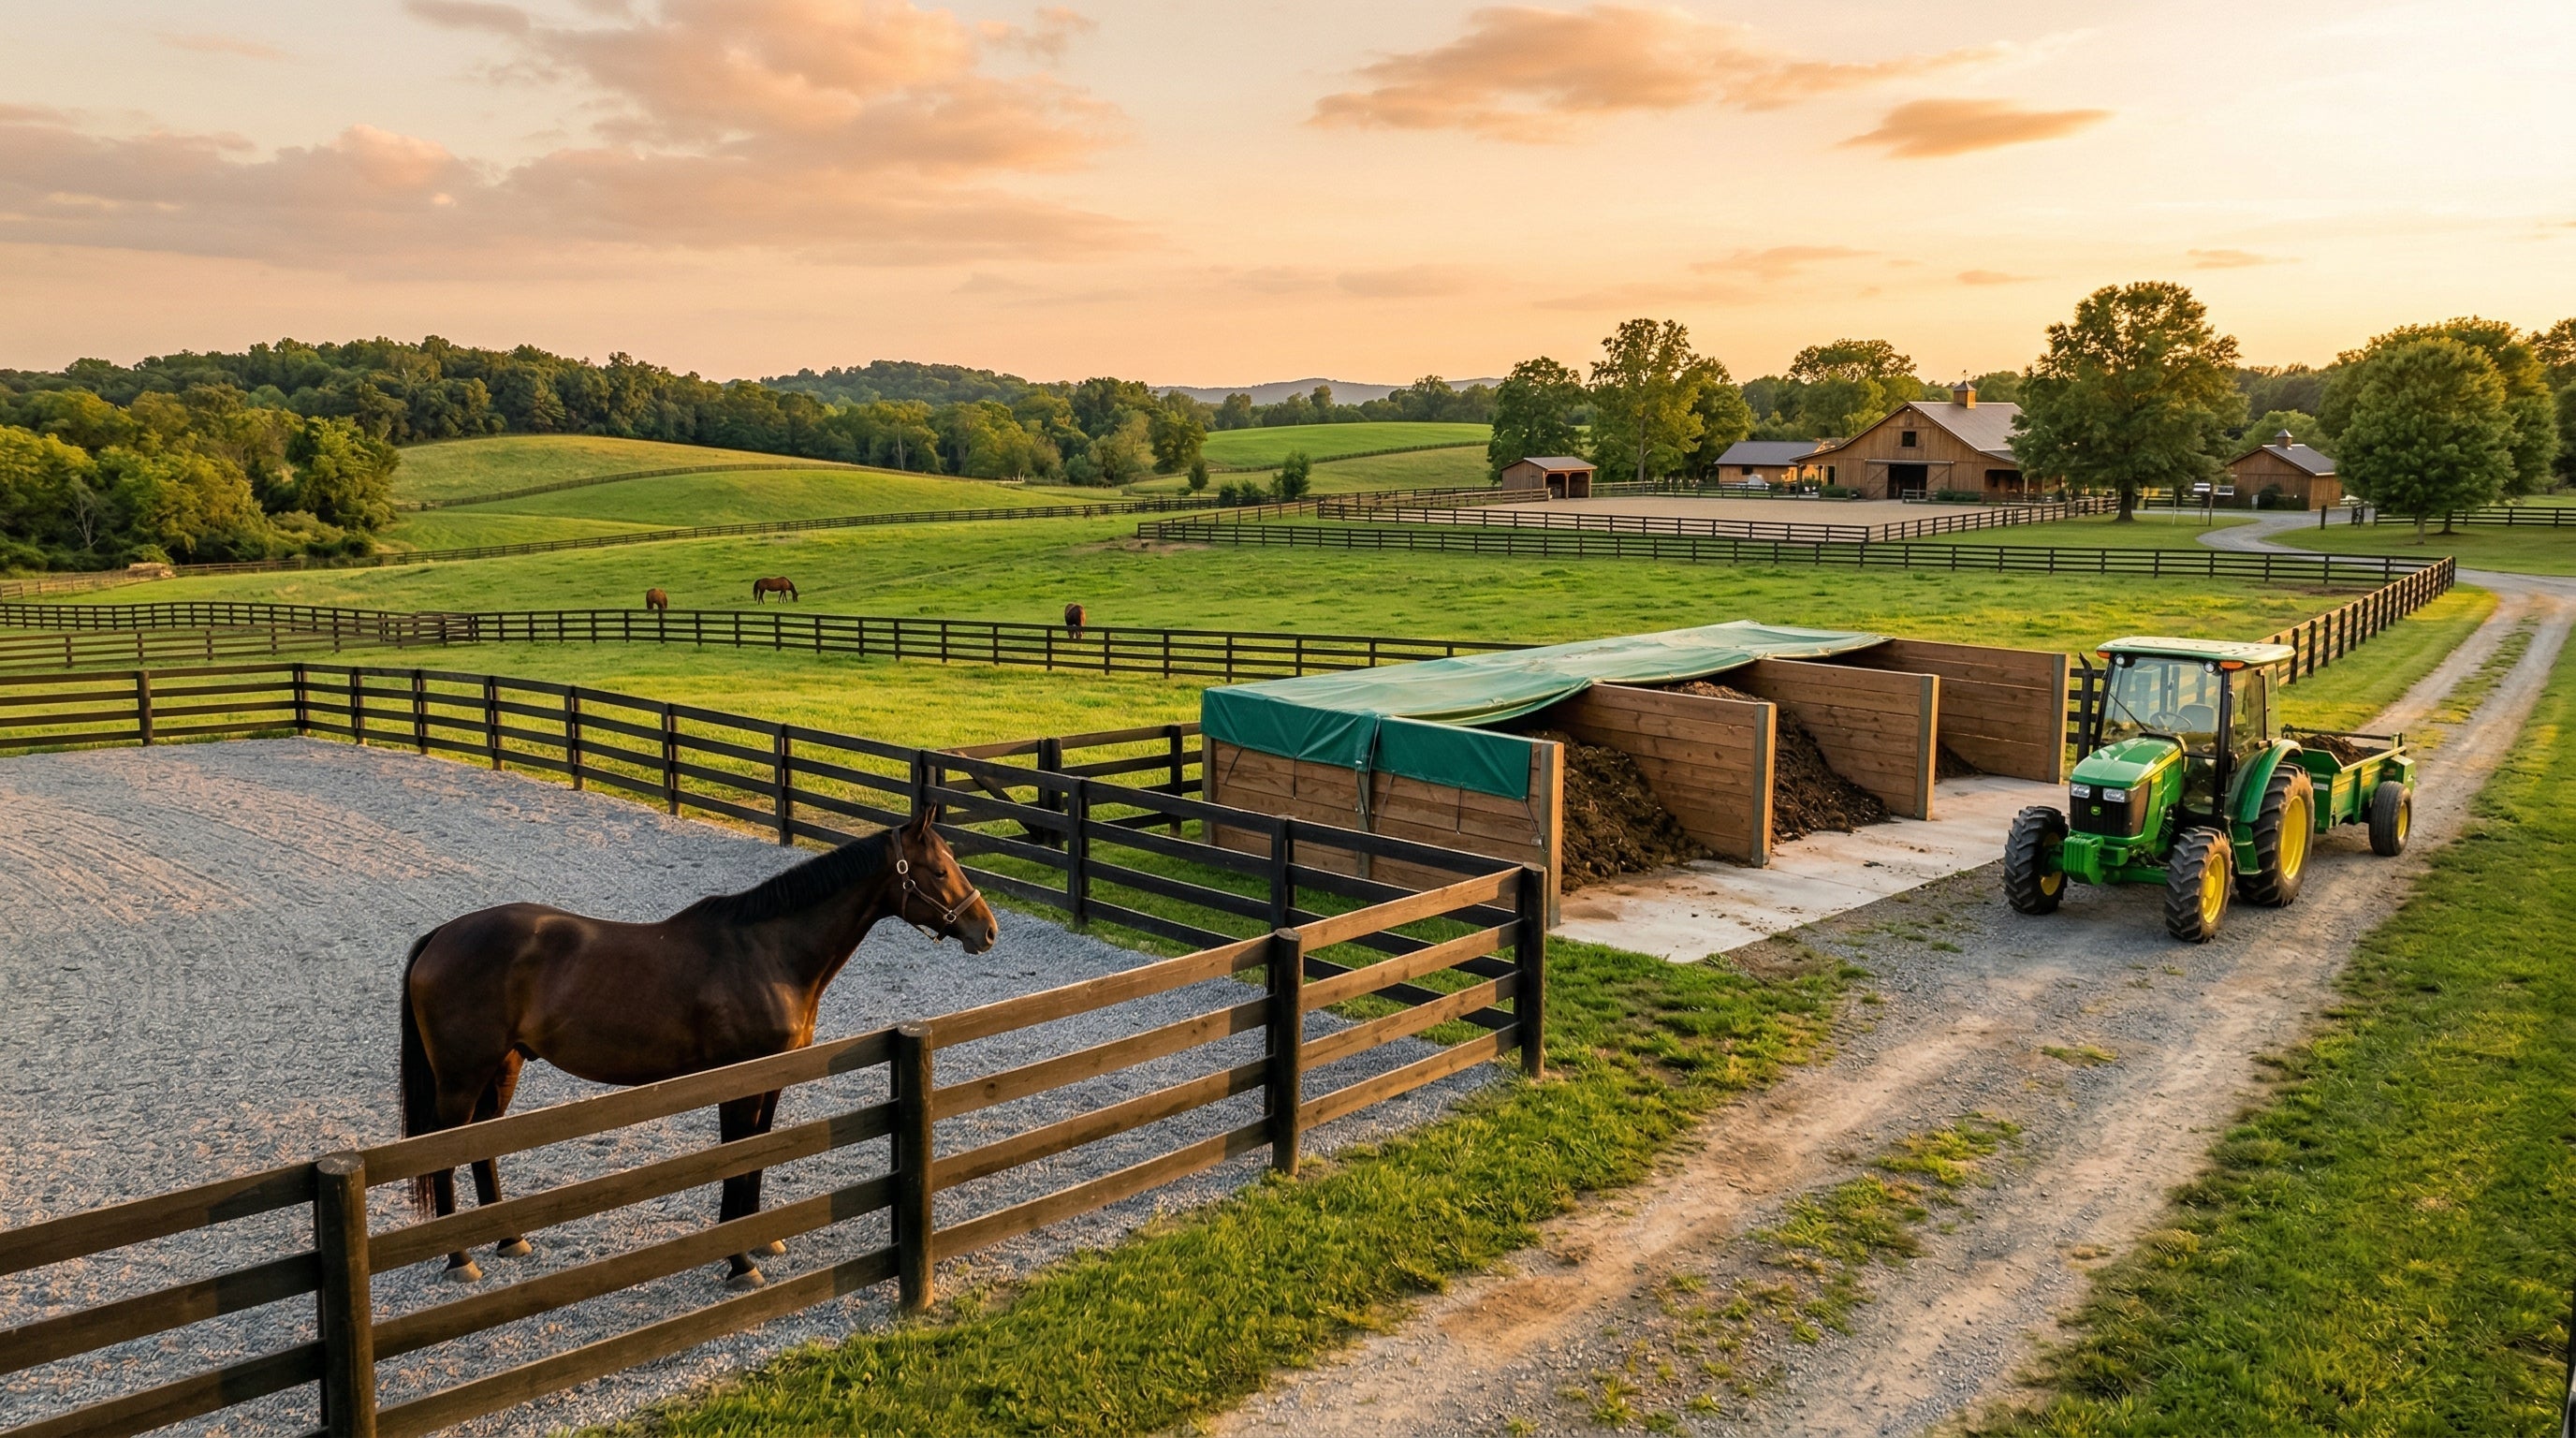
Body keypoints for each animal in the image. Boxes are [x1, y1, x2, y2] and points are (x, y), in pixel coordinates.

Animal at [396, 807, 995, 1287]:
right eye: (938, 871)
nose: (986, 930)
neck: (767, 953)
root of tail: (441, 935)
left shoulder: (773, 1077)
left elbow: (760, 1153)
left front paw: (761, 1240)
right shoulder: (738, 1080)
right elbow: (736, 1158)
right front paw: (738, 1262)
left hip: (503, 1066)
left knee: (481, 1143)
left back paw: (509, 1239)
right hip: (461, 1077)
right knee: (443, 1153)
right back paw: (460, 1258)